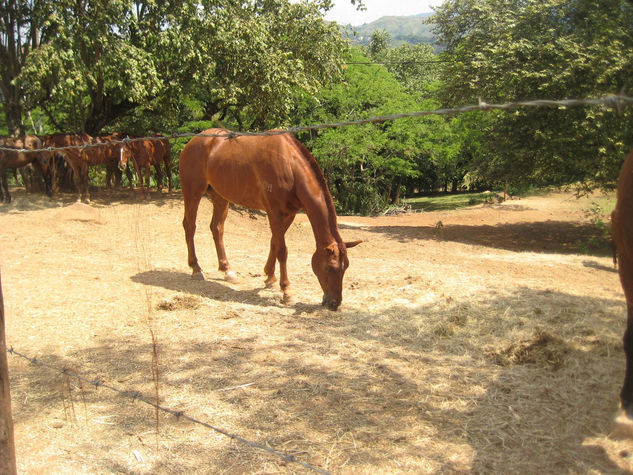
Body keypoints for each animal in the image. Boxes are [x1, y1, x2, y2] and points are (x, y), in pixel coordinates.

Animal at [178, 128, 360, 310]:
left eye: (346, 267)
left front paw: (270, 277)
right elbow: (282, 250)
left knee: (217, 228)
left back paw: (227, 270)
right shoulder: (275, 213)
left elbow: (274, 243)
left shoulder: (289, 215)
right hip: (193, 193)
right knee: (190, 226)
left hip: (220, 196)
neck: (290, 166)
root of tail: (193, 141)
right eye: (330, 268)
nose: (334, 303)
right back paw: (196, 269)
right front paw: (287, 292)